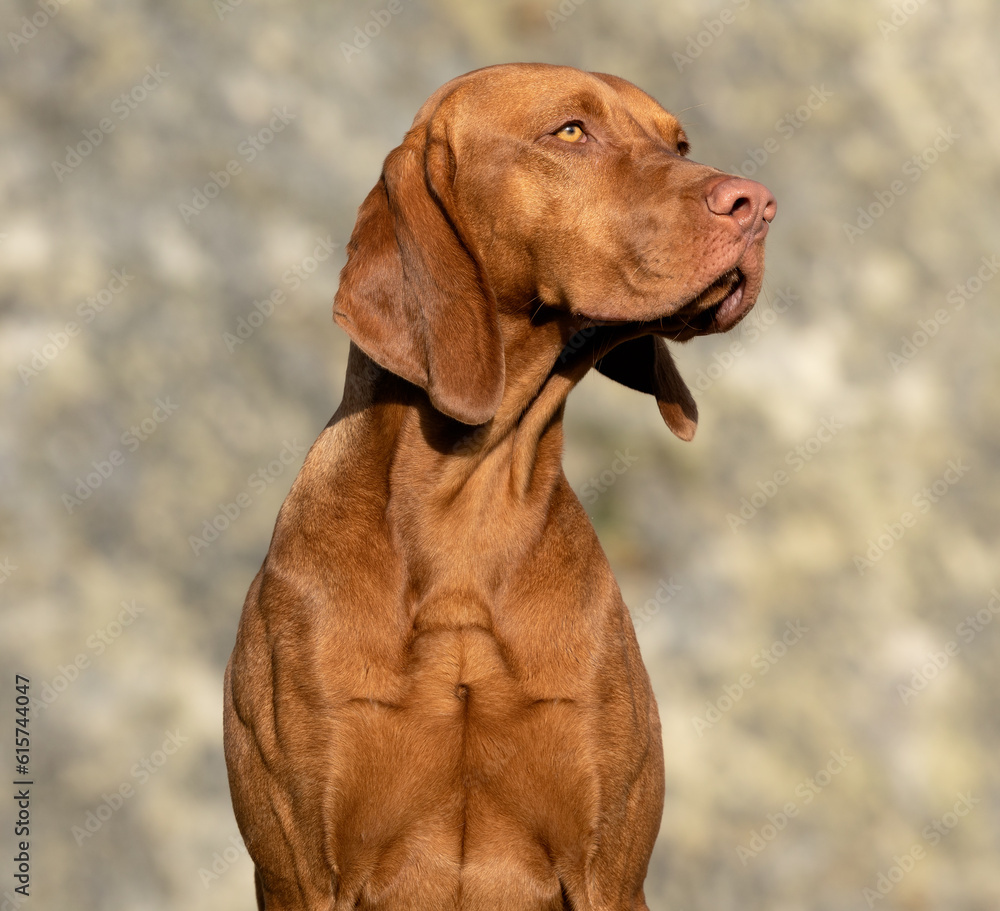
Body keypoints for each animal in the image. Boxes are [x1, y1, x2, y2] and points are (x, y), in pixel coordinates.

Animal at [225, 66, 772, 911]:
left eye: (680, 145)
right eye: (571, 131)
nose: (758, 202)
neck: (466, 513)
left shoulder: (610, 870)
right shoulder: (301, 874)